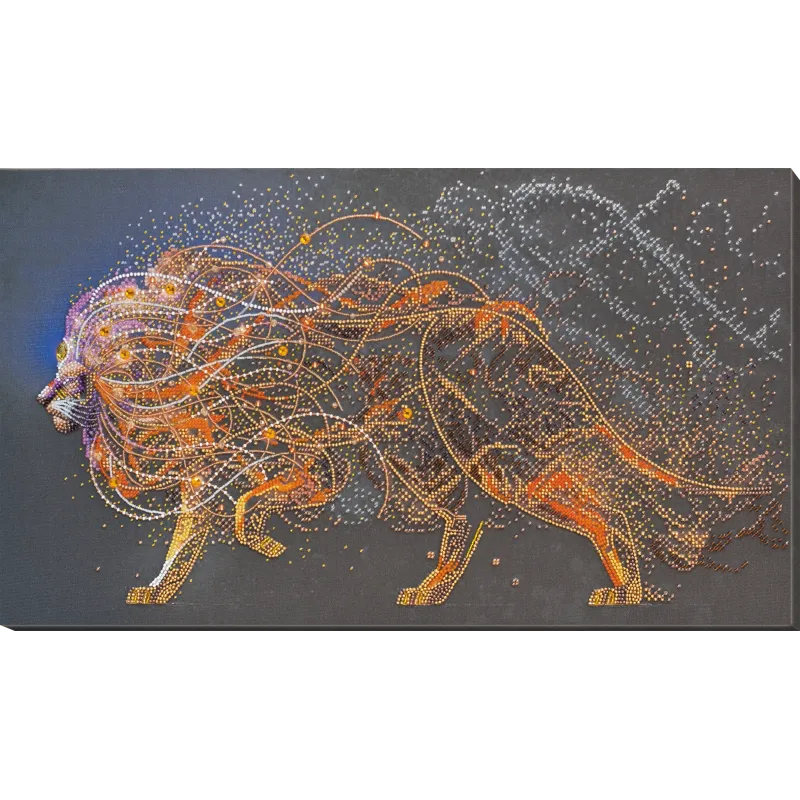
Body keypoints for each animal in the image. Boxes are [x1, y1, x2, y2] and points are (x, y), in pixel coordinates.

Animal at [38, 213, 775, 607]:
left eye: (73, 370)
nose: (42, 396)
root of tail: (500, 322)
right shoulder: (215, 475)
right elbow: (187, 539)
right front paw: (159, 591)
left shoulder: (310, 457)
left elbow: (250, 506)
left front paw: (261, 539)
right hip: (461, 457)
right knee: (549, 515)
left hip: (480, 459)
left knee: (562, 512)